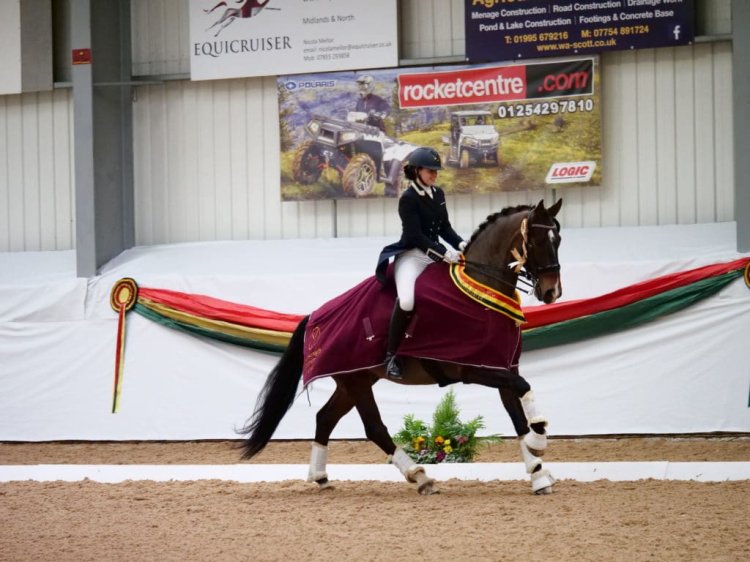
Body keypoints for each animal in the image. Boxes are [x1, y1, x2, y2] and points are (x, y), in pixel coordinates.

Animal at [241, 198, 564, 494]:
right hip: (356, 380)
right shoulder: (474, 369)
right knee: (374, 427)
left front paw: (538, 473)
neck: (479, 289)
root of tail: (313, 318)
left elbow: (518, 416)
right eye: (536, 241)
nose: (552, 292)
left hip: (354, 379)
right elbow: (525, 389)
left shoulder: (501, 366)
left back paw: (320, 477)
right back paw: (421, 477)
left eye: (558, 239)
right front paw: (539, 441)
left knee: (325, 417)